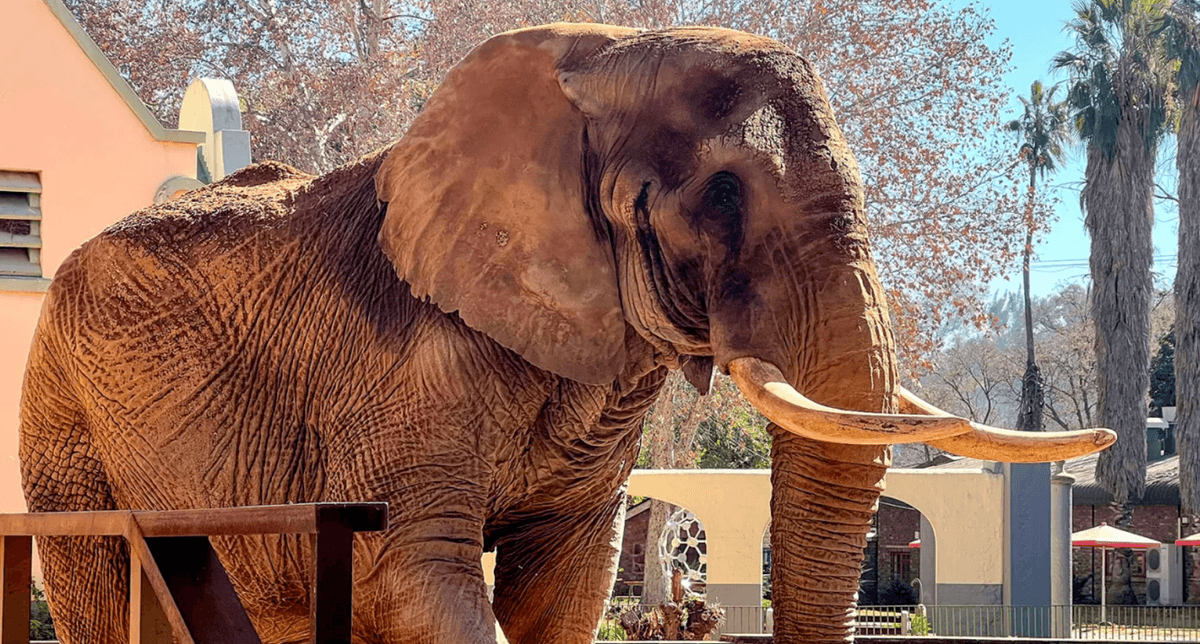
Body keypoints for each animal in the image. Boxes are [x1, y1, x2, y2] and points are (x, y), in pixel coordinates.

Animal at [19, 22, 1114, 644]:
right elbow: (407, 577)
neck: (598, 52)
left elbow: (567, 583)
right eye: (724, 192)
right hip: (62, 412)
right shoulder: (395, 371)